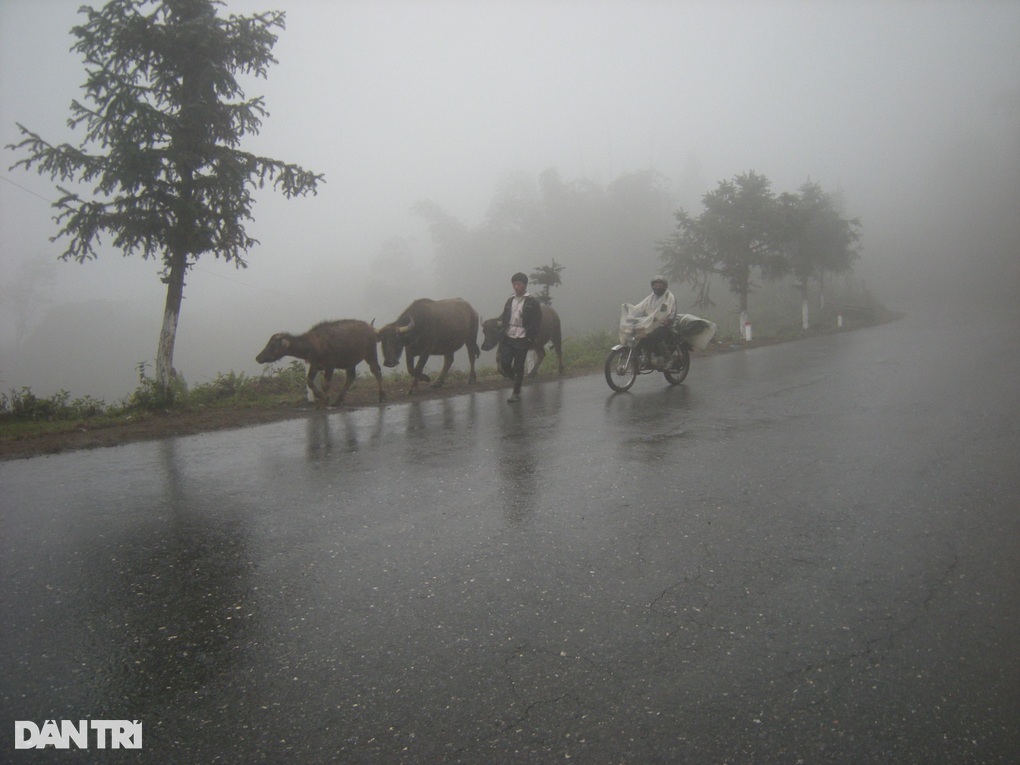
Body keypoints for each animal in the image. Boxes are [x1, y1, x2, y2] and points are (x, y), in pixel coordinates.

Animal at [252, 318, 383, 408]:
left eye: (272, 345)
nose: (258, 358)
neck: (312, 345)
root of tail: (371, 329)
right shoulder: (315, 365)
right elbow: (309, 381)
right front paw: (320, 397)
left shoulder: (330, 365)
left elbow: (326, 384)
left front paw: (325, 400)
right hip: (350, 361)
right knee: (350, 377)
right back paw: (338, 400)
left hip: (370, 354)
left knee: (376, 370)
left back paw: (382, 396)